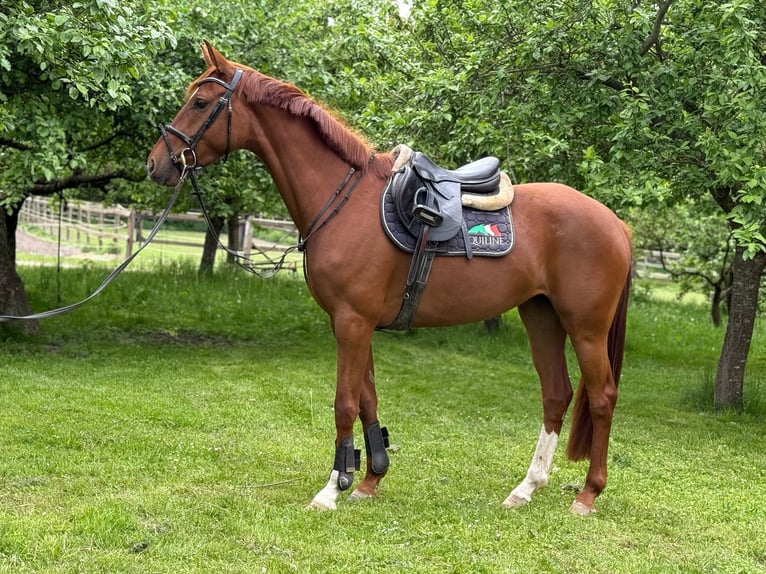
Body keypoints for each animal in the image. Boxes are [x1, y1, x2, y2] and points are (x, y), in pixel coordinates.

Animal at [146, 42, 632, 516]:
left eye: (200, 102)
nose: (156, 164)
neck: (343, 202)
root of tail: (616, 225)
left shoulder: (352, 322)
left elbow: (344, 403)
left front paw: (332, 489)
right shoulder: (352, 323)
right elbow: (367, 400)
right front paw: (368, 478)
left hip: (585, 328)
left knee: (602, 395)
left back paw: (588, 494)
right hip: (541, 316)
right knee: (557, 395)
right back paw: (526, 488)